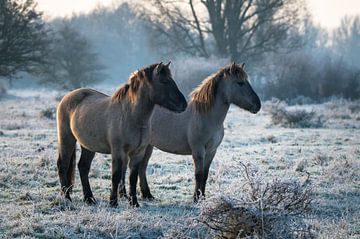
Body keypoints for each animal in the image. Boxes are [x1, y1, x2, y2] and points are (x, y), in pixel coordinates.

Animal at [56, 62, 187, 206]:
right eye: (164, 81)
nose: (184, 104)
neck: (131, 116)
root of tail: (67, 97)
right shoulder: (118, 151)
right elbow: (116, 175)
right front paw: (113, 201)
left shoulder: (138, 152)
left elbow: (133, 178)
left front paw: (134, 203)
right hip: (66, 139)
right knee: (63, 165)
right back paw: (67, 198)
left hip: (88, 146)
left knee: (83, 167)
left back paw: (89, 198)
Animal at [139, 63, 262, 202]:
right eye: (240, 83)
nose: (258, 105)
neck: (206, 116)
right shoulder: (198, 151)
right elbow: (199, 174)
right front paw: (196, 198)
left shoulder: (211, 151)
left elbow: (205, 174)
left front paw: (203, 197)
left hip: (148, 146)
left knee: (142, 168)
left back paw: (147, 195)